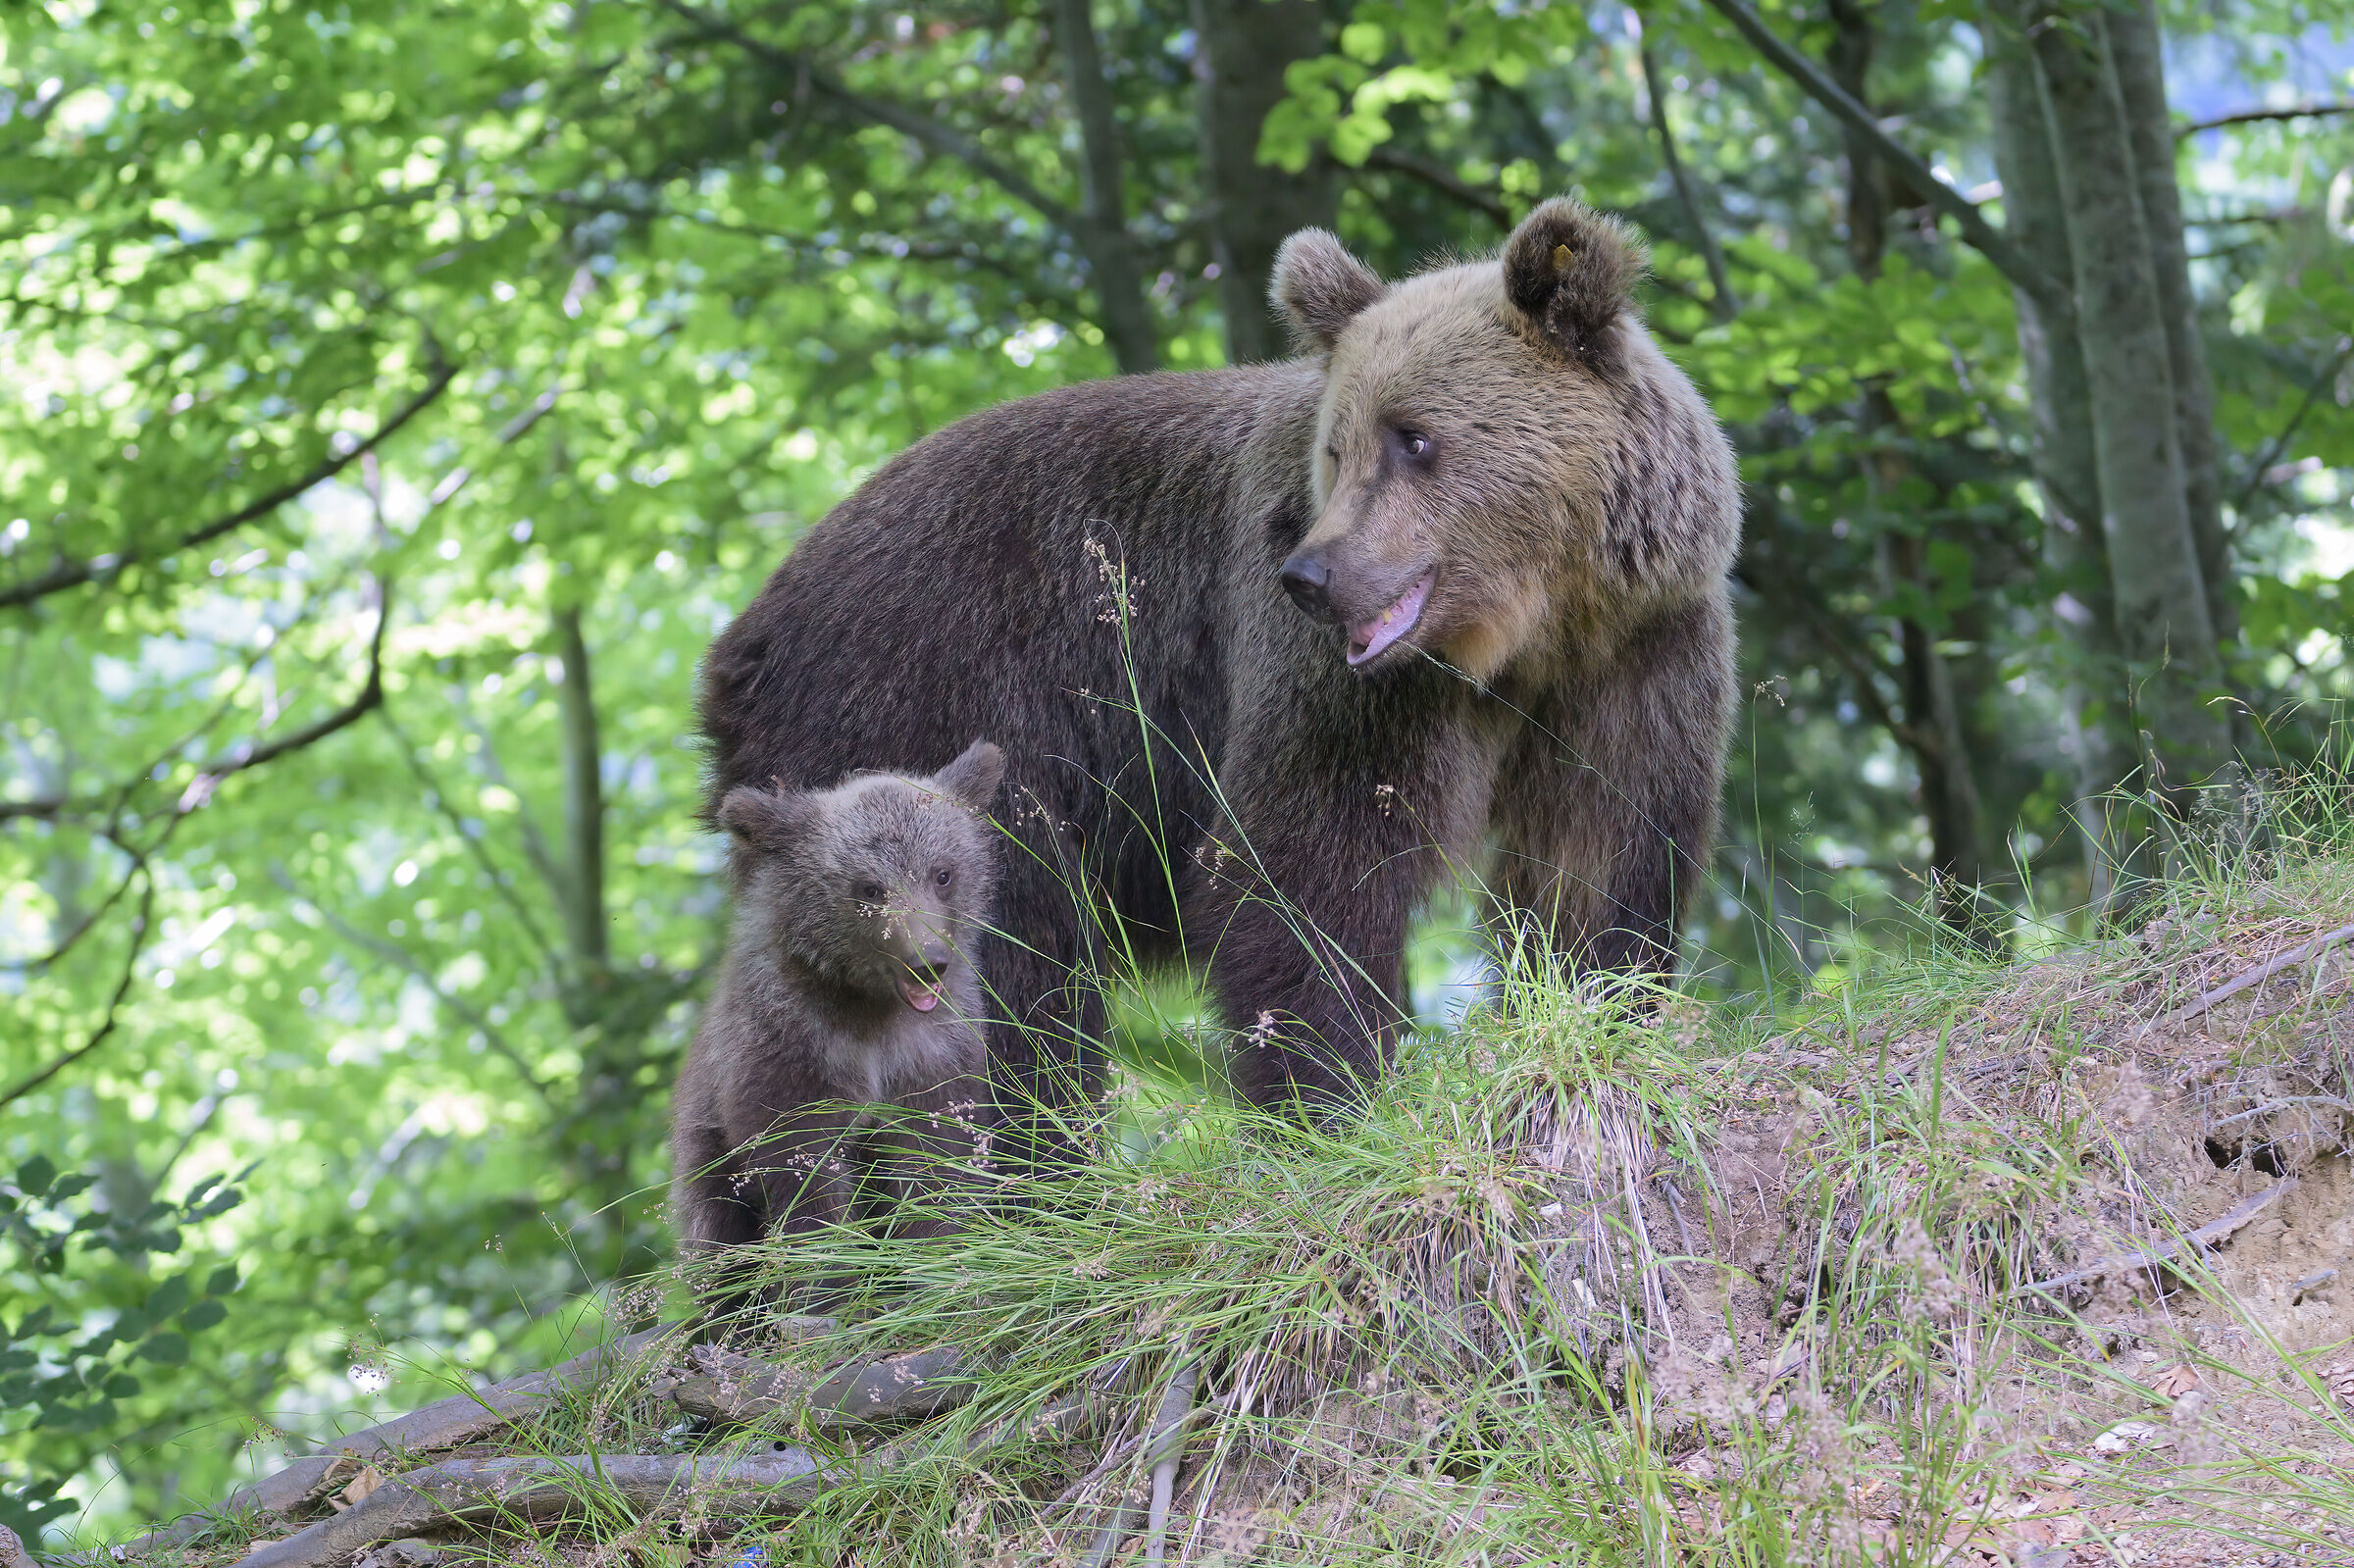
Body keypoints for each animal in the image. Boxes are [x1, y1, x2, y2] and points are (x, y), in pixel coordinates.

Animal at [669, 738, 1006, 1279]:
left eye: (943, 874)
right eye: (869, 888)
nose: (927, 961)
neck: (867, 1007)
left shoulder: (931, 1053)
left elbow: (933, 1164)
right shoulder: (789, 1051)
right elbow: (804, 1179)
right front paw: (828, 1273)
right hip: (705, 1150)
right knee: (714, 1234)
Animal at [697, 198, 1737, 1150]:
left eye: (1415, 437)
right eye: (1338, 446)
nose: (1314, 576)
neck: (1526, 632)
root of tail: (737, 644)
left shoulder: (1640, 653)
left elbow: (1600, 851)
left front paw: (1599, 1010)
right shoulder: (1335, 681)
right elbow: (1304, 865)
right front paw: (1332, 1102)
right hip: (922, 715)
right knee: (1009, 959)